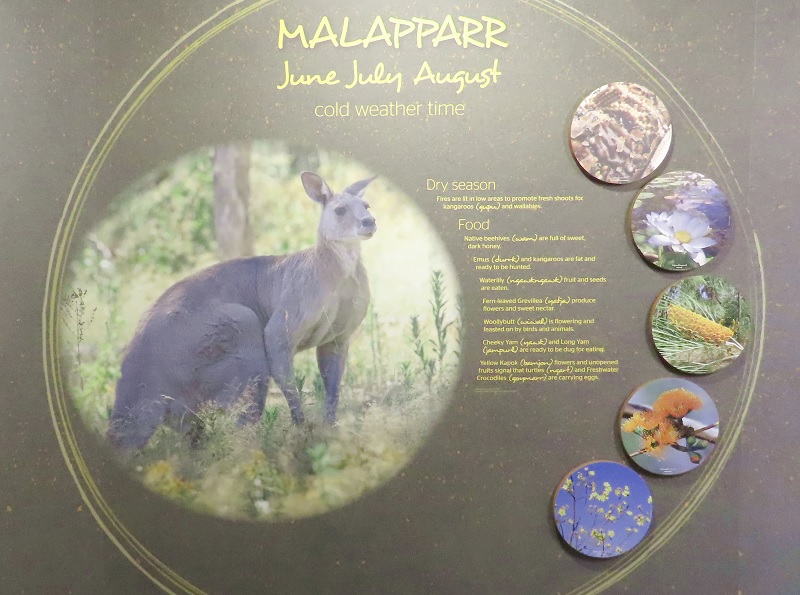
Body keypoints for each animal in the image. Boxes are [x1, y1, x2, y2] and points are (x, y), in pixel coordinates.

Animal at [107, 171, 377, 450]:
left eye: (366, 206)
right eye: (340, 210)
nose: (370, 221)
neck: (340, 270)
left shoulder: (336, 338)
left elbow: (332, 384)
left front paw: (331, 430)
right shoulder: (288, 314)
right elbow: (285, 373)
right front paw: (302, 428)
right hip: (237, 333)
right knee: (241, 429)